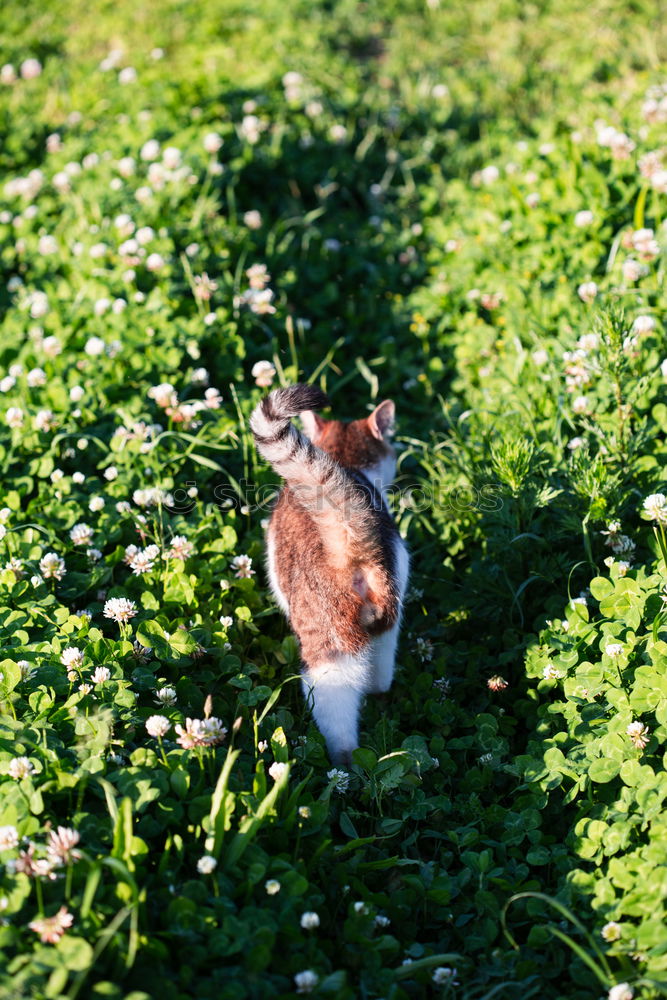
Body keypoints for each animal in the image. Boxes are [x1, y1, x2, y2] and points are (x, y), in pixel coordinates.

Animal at [249, 382, 410, 764]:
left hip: (327, 649)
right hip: (389, 621)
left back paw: (341, 763)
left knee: (336, 713)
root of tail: (347, 545)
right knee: (380, 676)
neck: (343, 460)